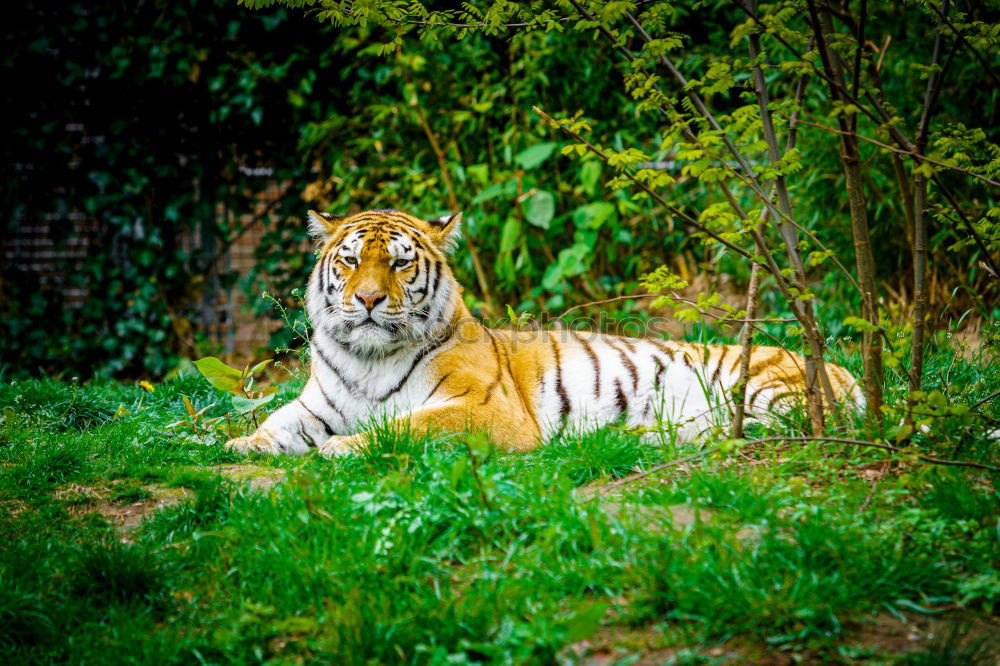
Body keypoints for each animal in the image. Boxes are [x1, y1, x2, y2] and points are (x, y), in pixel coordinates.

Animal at [225, 208, 860, 456]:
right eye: (352, 261)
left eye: (401, 265)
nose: (368, 299)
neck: (368, 358)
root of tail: (845, 372)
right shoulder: (316, 403)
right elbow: (277, 422)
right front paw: (239, 445)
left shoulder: (485, 410)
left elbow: (405, 426)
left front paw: (344, 448)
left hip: (763, 393)